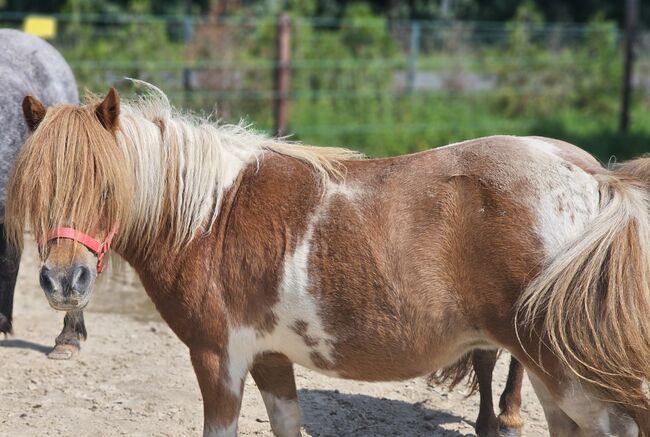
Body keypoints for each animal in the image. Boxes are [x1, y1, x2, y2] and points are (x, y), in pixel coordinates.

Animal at [7, 86, 644, 436]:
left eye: (105, 185)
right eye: (38, 187)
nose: (63, 282)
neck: (210, 215)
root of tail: (597, 182)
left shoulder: (218, 360)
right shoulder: (268, 360)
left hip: (568, 373)